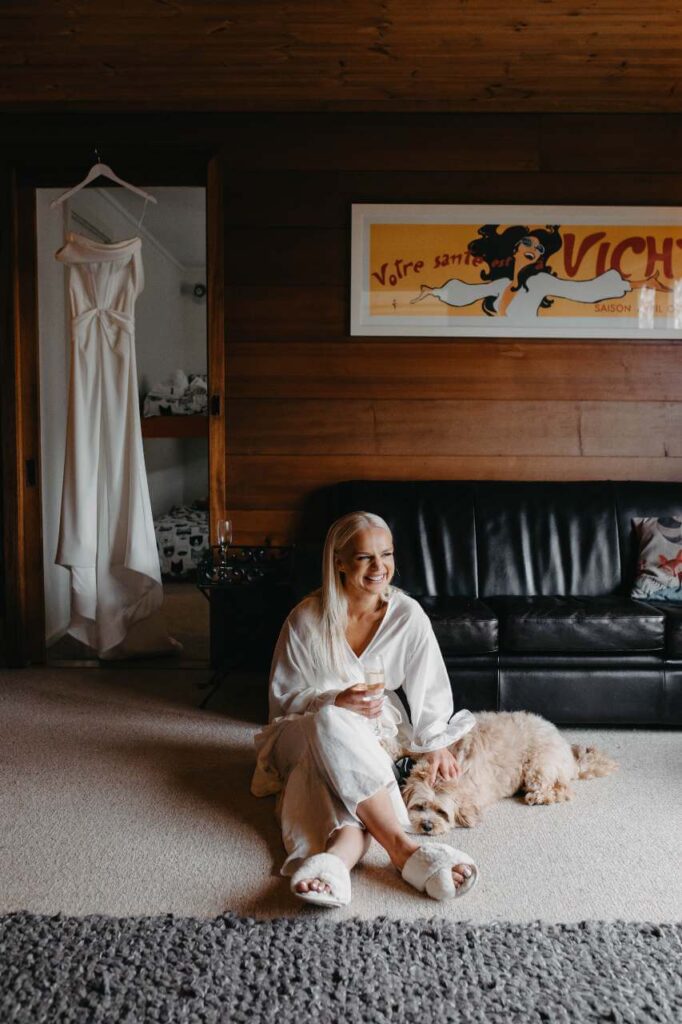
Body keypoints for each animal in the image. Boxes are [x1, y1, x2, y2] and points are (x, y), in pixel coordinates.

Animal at [399, 712, 614, 831]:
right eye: (419, 807)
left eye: (441, 812)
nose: (427, 826)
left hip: (538, 767)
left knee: (562, 789)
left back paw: (538, 797)